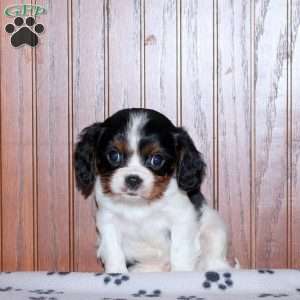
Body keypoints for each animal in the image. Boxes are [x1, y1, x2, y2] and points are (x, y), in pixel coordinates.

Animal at [74, 109, 230, 274]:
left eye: (156, 160)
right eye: (114, 155)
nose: (133, 179)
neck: (139, 204)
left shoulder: (182, 218)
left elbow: (180, 250)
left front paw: (180, 273)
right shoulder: (108, 219)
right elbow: (113, 249)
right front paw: (116, 273)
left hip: (215, 229)